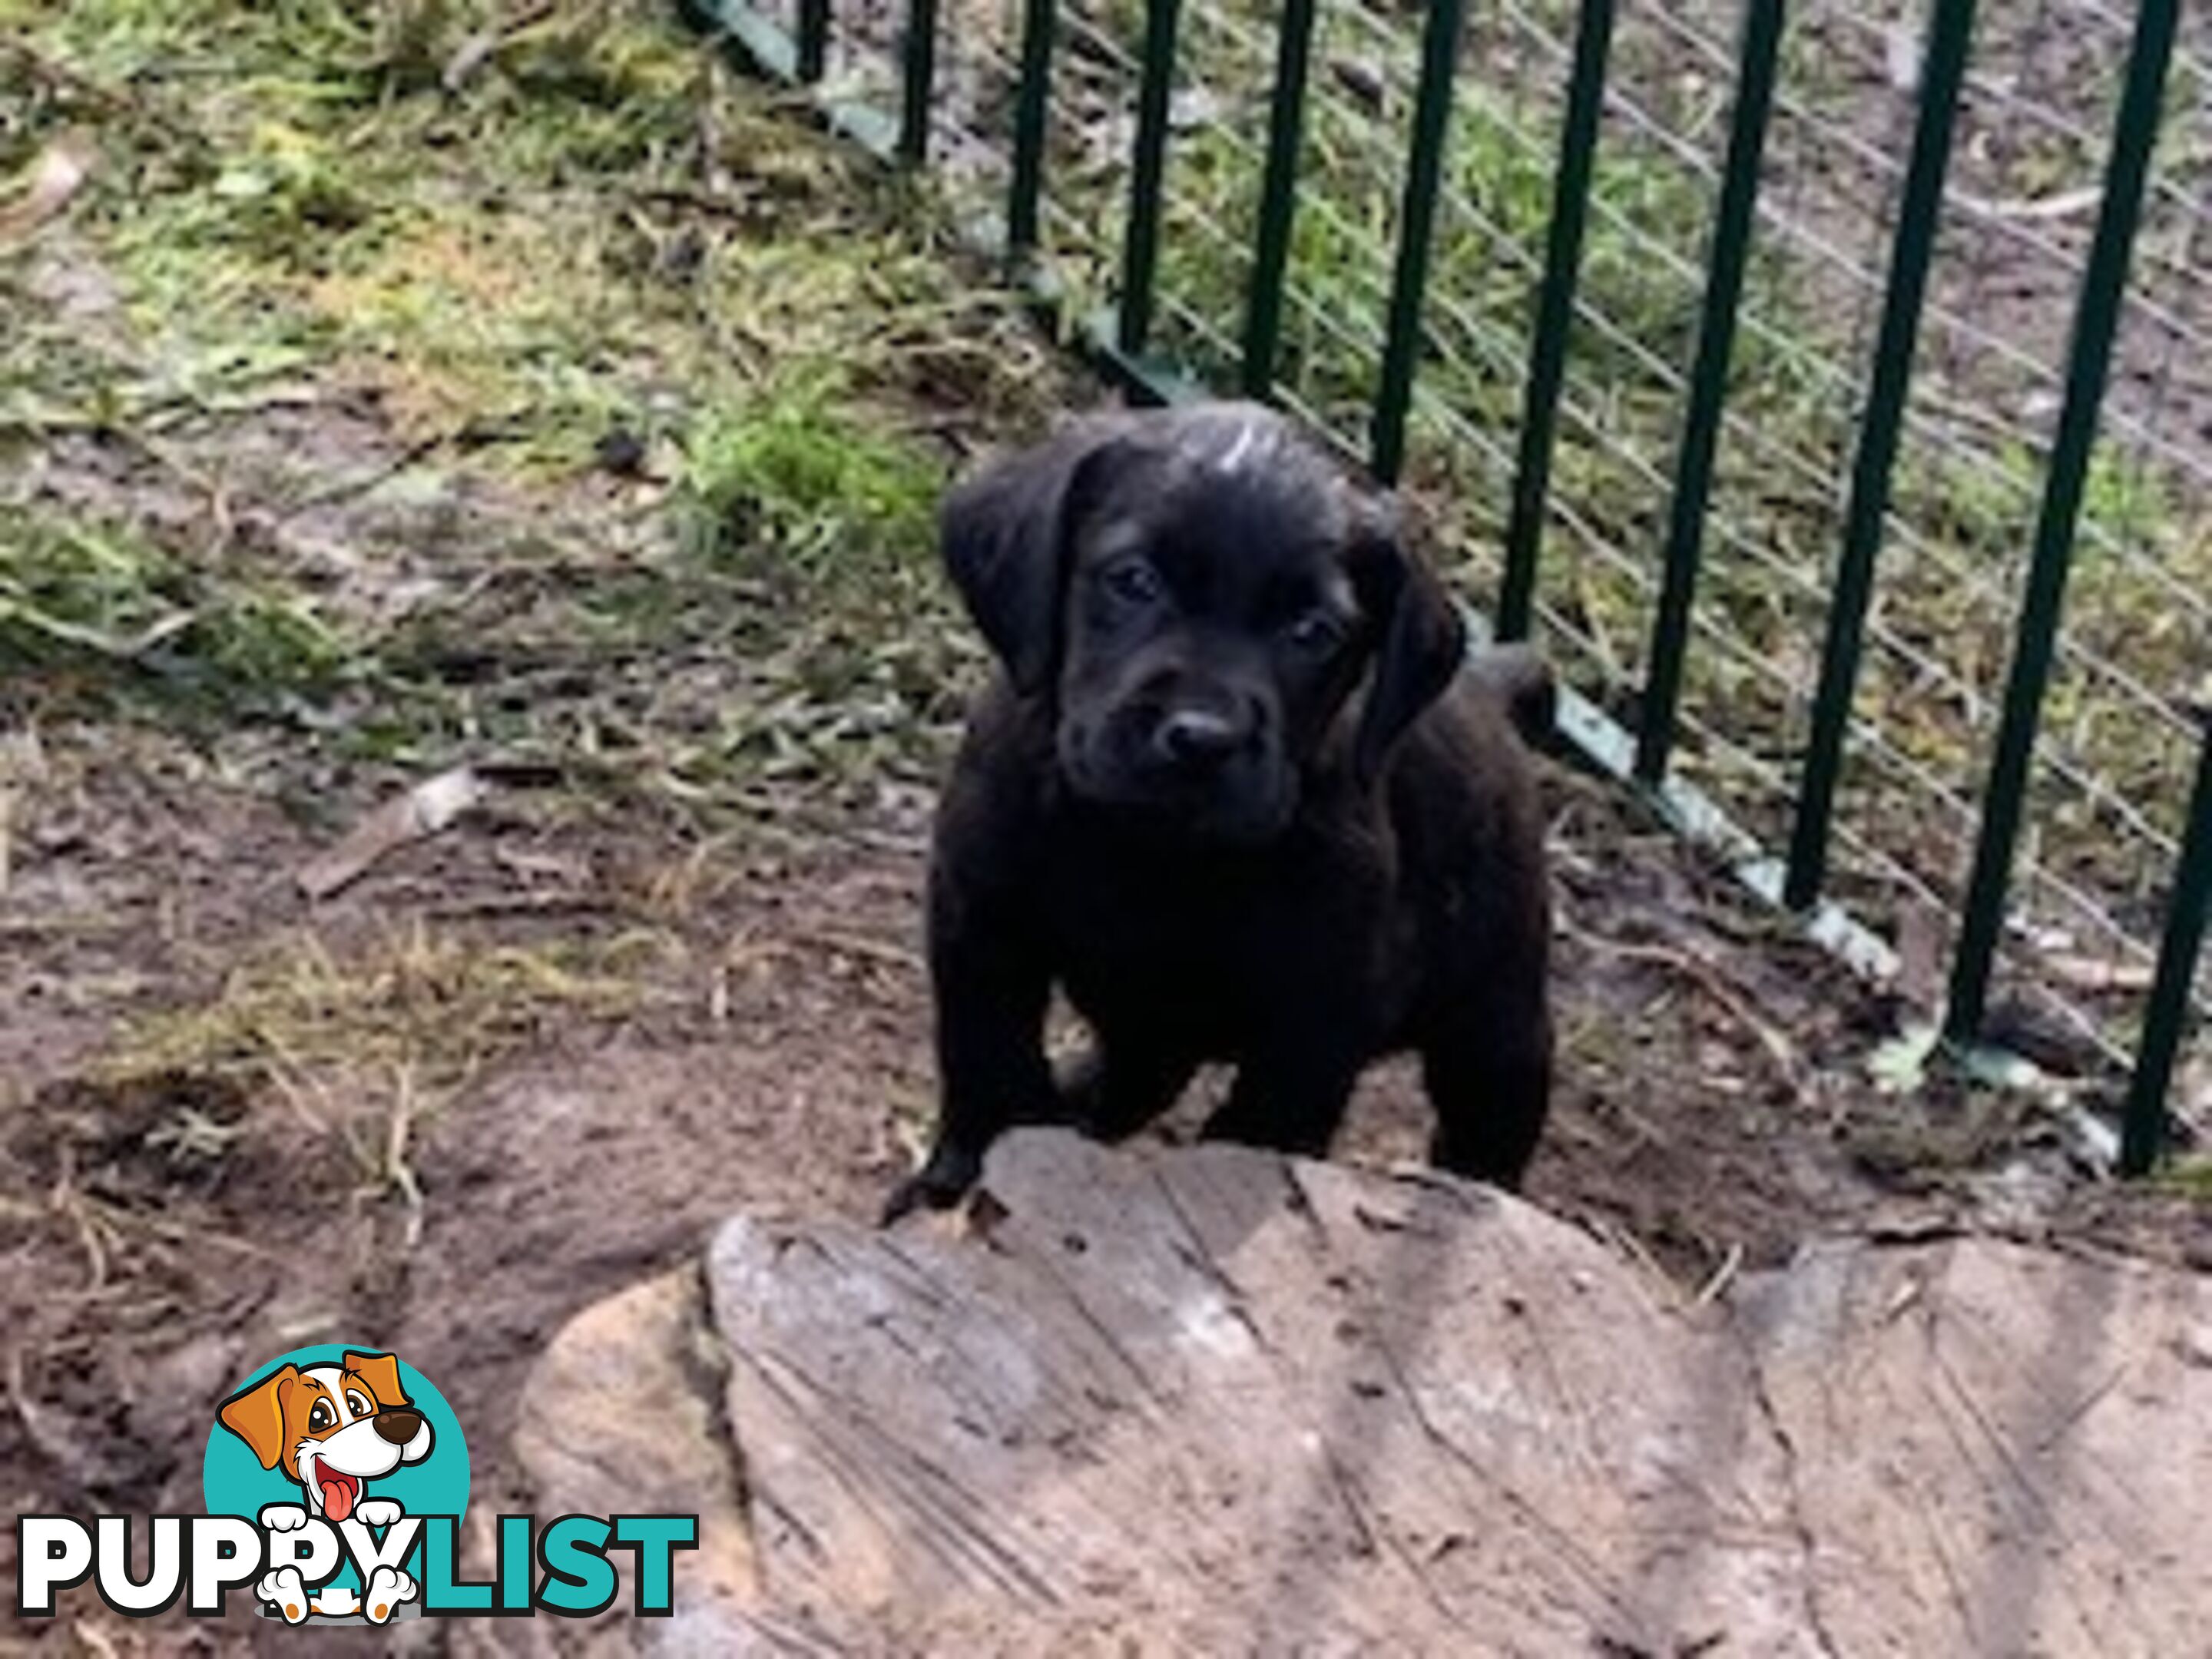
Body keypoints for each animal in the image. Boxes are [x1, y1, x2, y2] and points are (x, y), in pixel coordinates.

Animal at [880, 406, 1557, 1230]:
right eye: (1133, 581)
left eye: (1313, 630)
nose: (1202, 737)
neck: (1151, 847)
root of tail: (1491, 688)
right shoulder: (979, 919)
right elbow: (987, 1059)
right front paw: (952, 1182)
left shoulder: (1315, 1015)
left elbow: (1259, 1132)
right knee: (1138, 1073)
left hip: (1495, 1021)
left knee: (1490, 1128)